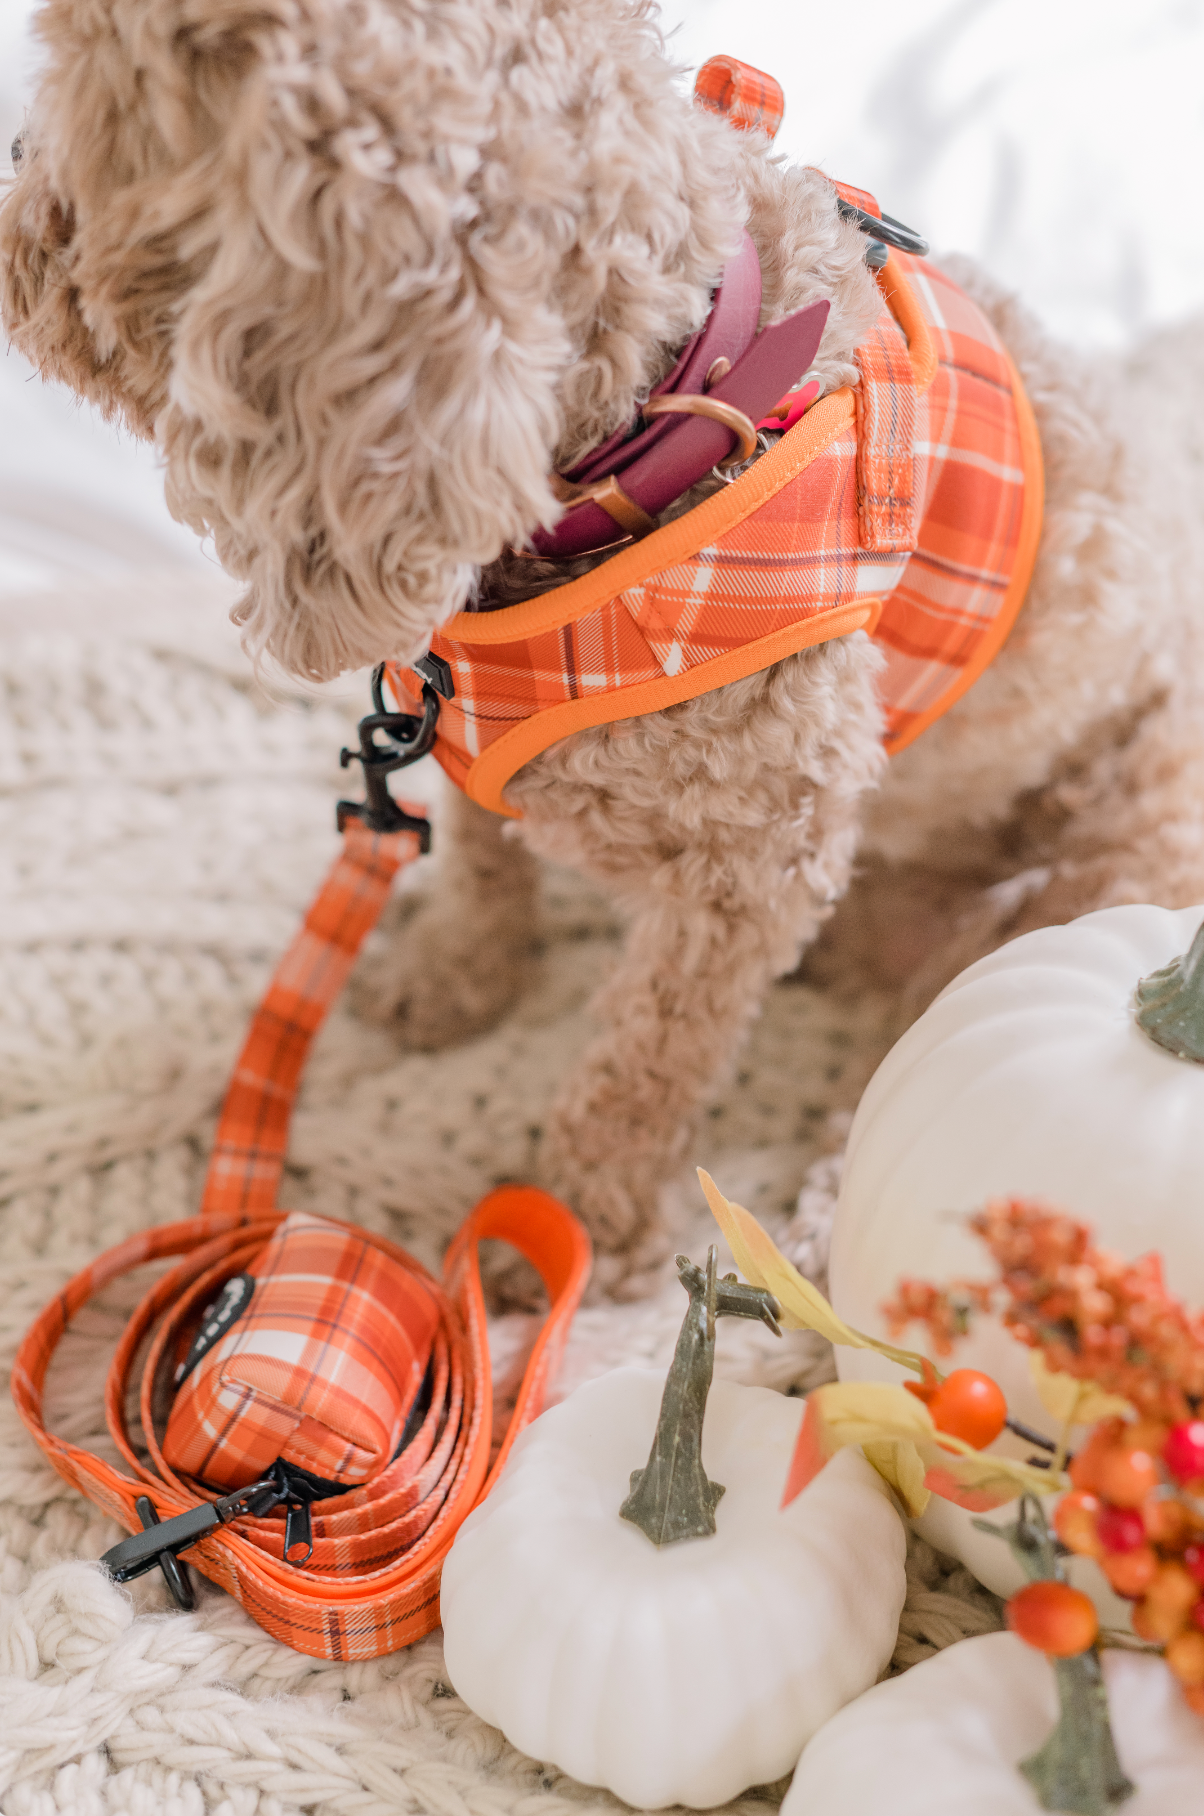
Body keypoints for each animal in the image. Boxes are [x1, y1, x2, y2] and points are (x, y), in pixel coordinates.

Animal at [9, 3, 1204, 1307]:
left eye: (93, 124)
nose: (13, 175)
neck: (689, 398)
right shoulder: (467, 719)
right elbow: (483, 860)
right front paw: (457, 978)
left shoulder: (756, 866)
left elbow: (650, 1053)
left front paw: (578, 1216)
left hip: (1129, 828)